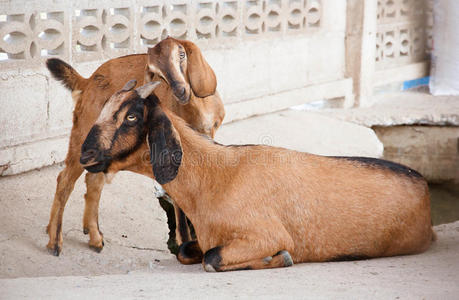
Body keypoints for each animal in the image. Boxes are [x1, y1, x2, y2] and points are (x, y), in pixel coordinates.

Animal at [45, 37, 225, 256]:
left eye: (181, 54)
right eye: (156, 72)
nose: (180, 91)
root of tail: (87, 81)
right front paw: (185, 244)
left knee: (93, 181)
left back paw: (94, 236)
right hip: (84, 135)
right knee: (65, 180)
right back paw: (55, 242)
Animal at [81, 81, 436, 274]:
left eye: (131, 116)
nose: (85, 155)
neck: (216, 175)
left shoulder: (266, 234)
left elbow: (211, 258)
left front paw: (280, 258)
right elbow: (186, 252)